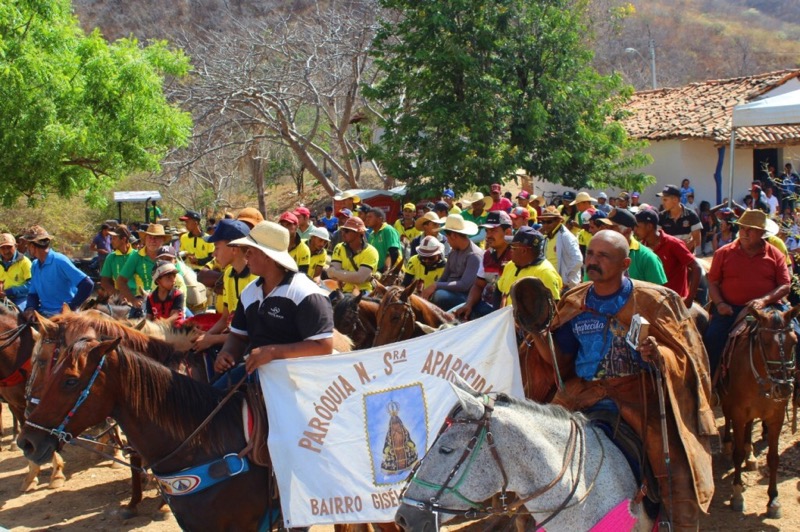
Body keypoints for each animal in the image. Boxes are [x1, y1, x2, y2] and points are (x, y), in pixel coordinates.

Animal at [716, 306, 796, 516]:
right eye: (765, 342)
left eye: (794, 341)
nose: (784, 388)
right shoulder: (738, 413)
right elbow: (737, 454)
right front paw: (737, 495)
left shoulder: (776, 417)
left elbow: (773, 458)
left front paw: (773, 500)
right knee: (727, 419)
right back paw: (727, 444)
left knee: (750, 426)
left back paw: (750, 454)